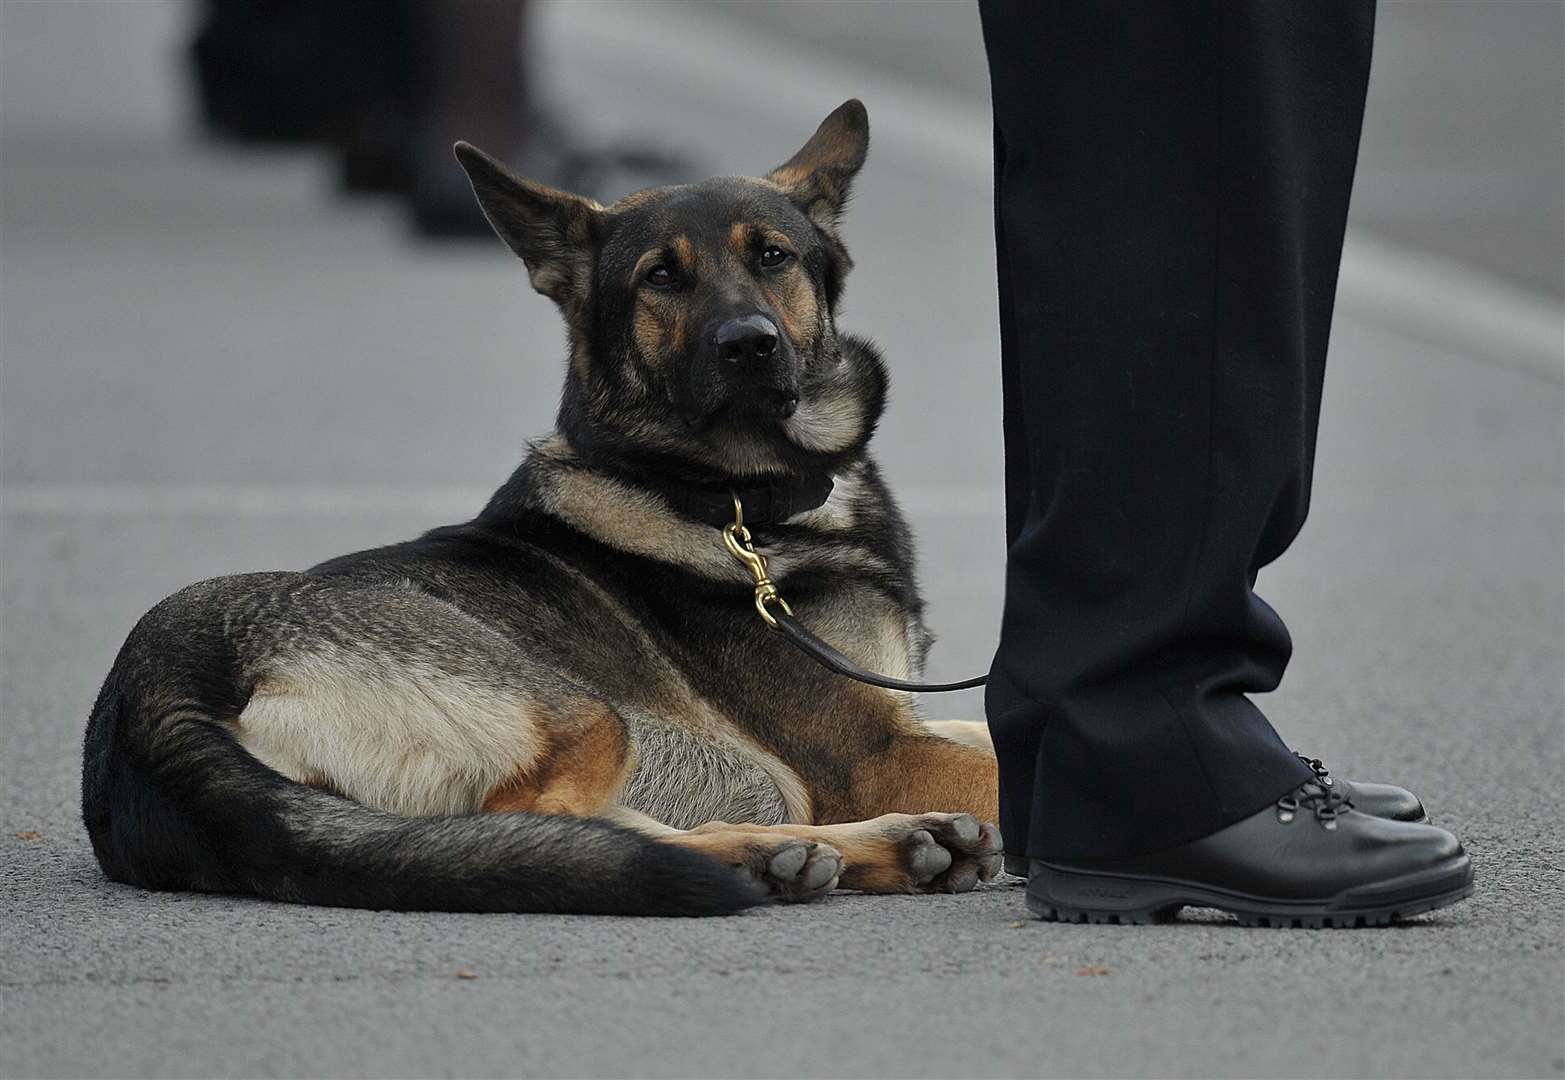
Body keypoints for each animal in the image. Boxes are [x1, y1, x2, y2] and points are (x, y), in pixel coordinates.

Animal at [79, 100, 1001, 914]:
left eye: (772, 256)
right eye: (660, 276)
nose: (746, 344)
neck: (731, 501)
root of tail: (146, 698)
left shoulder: (915, 722)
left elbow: (989, 722)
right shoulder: (882, 755)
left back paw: (824, 854)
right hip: (580, 713)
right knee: (540, 826)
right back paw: (788, 855)